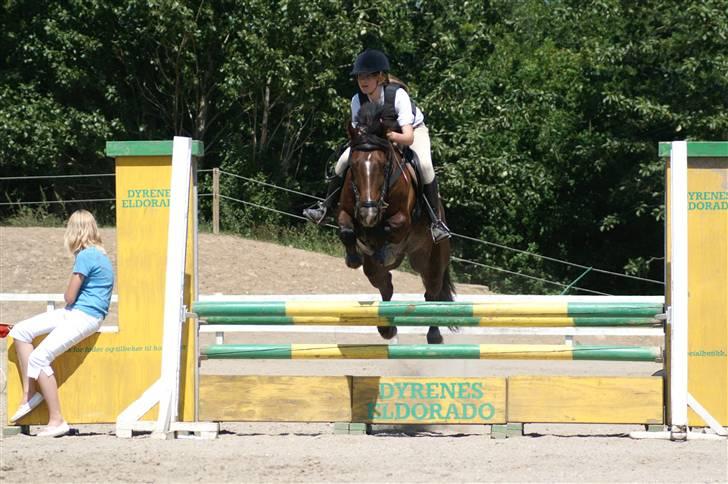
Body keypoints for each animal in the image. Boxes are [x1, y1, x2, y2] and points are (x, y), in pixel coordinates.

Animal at [336, 101, 456, 344]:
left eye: (383, 166)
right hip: (378, 269)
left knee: (432, 291)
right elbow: (346, 230)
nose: (368, 213)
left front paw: (380, 241)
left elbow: (390, 227)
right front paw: (354, 256)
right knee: (386, 284)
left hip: (431, 259)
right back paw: (387, 329)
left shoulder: (402, 220)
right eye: (353, 165)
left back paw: (434, 336)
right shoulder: (345, 212)